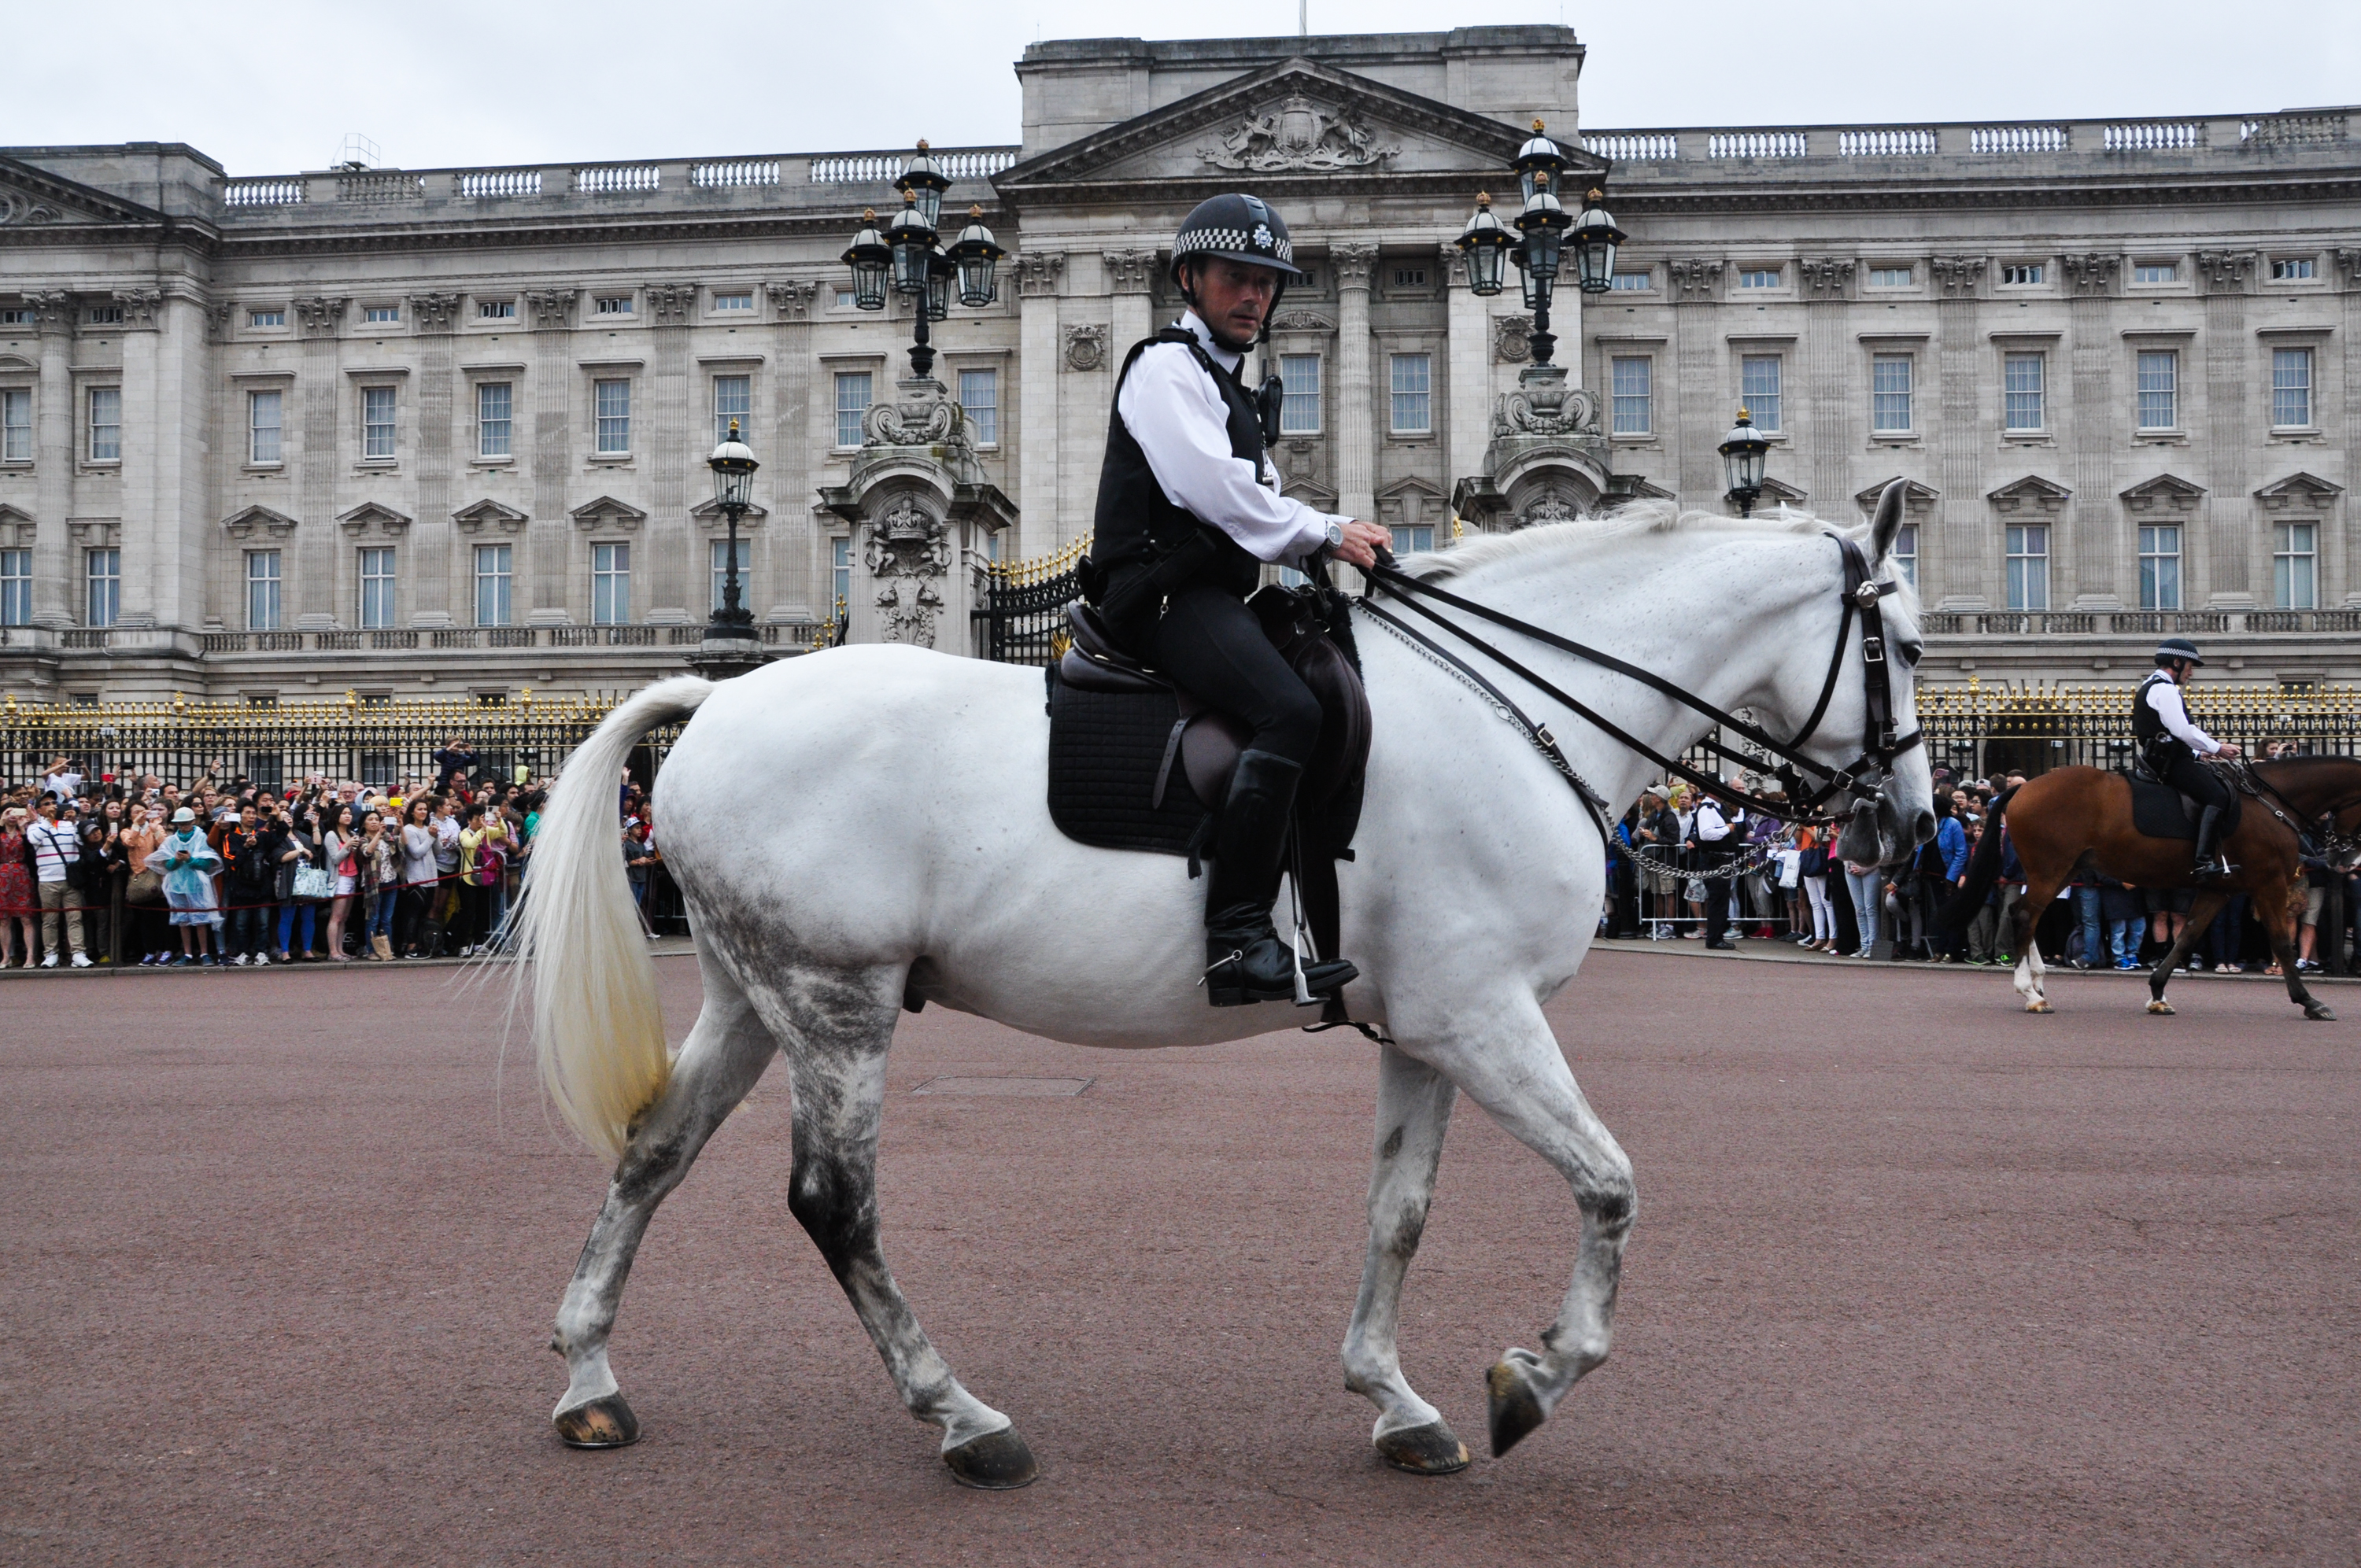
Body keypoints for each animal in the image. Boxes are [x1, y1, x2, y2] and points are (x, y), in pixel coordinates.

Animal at [522, 486, 1936, 1482]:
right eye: (1908, 644)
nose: (1905, 827)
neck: (1502, 709)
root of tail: (717, 698)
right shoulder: (1484, 1015)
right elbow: (1610, 1183)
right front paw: (1534, 1376)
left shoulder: (1426, 1026)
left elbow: (1399, 1212)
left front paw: (1398, 1399)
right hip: (839, 1001)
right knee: (836, 1204)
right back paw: (965, 1417)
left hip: (755, 998)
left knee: (654, 1152)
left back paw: (591, 1379)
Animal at [1945, 755, 2361, 1015]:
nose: (2346, 861)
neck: (2270, 803)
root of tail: (2024, 786)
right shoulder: (2269, 884)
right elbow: (2282, 943)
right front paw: (2308, 1001)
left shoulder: (2220, 889)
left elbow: (2187, 935)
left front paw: (2158, 992)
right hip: (2051, 870)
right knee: (2024, 915)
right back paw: (2030, 992)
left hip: (2061, 871)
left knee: (2024, 913)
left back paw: (2037, 981)